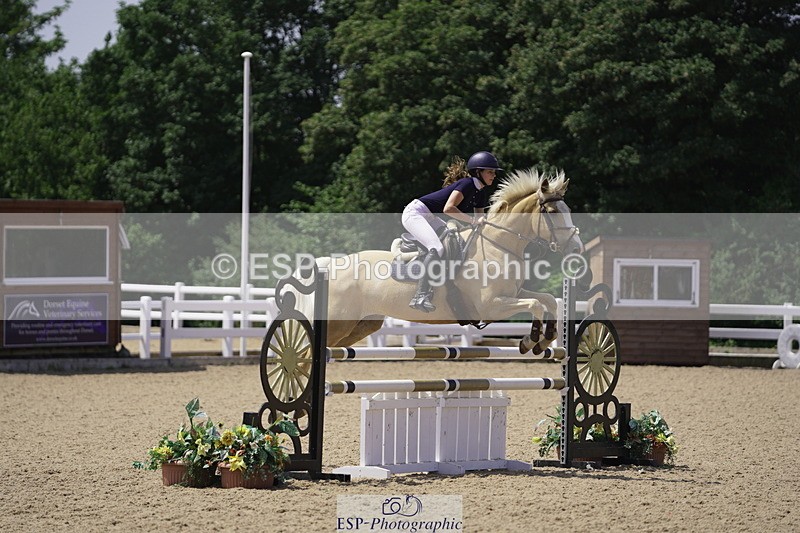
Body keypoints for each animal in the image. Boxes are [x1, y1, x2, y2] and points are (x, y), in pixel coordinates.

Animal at [297, 168, 583, 353]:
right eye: (552, 211)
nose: (576, 248)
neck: (497, 245)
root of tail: (330, 266)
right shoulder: (491, 306)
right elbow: (536, 304)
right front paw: (530, 341)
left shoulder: (512, 294)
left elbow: (547, 301)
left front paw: (546, 339)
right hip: (338, 323)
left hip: (360, 326)